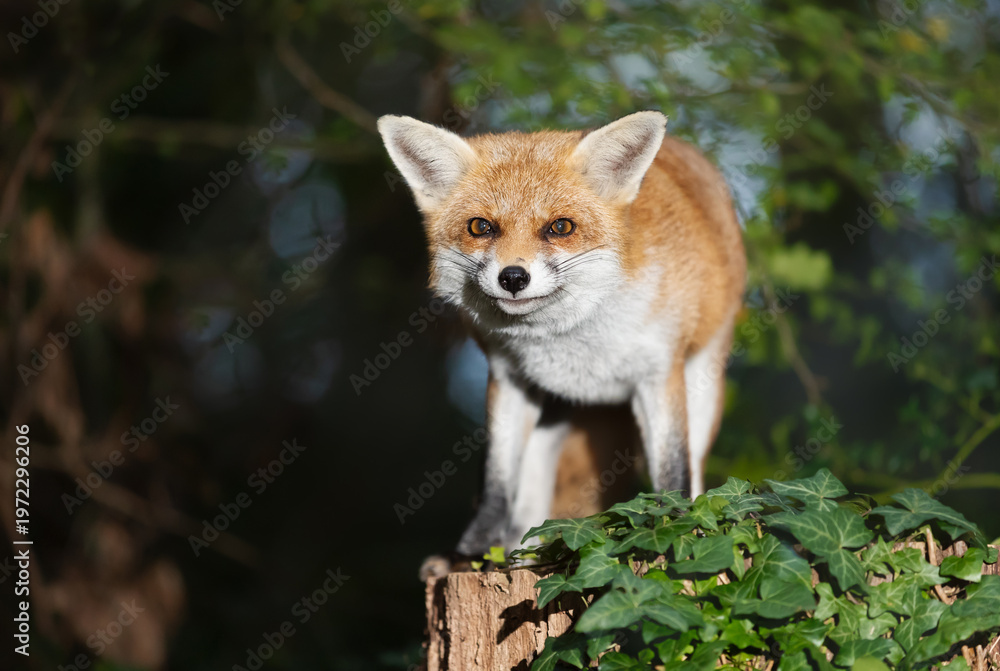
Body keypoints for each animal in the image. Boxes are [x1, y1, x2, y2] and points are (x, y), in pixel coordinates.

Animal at [378, 111, 746, 573]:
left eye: (560, 227)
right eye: (480, 227)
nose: (513, 277)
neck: (572, 341)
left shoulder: (659, 375)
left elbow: (672, 471)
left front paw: (672, 531)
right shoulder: (508, 379)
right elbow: (496, 483)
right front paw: (470, 555)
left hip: (702, 387)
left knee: (694, 472)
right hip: (553, 415)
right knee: (529, 508)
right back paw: (522, 557)